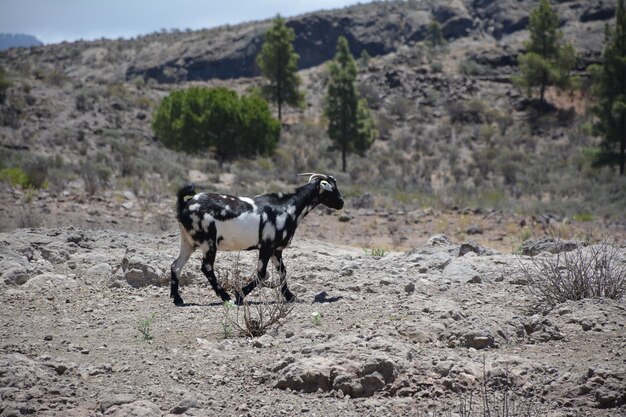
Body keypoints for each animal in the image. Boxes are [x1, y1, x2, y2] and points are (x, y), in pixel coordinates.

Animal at [168, 172, 344, 306]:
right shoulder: (266, 246)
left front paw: (290, 296)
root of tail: (185, 205)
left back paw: (178, 299)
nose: (341, 202)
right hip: (208, 242)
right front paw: (239, 295)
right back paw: (226, 297)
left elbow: (282, 271)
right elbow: (262, 273)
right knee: (206, 267)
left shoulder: (276, 250)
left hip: (188, 242)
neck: (288, 208)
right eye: (332, 188)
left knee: (176, 266)